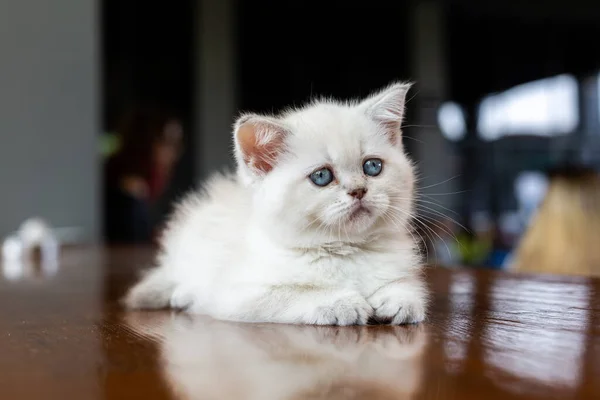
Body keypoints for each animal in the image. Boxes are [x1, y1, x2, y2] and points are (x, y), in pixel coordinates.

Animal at [125, 82, 426, 324]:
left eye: (372, 167)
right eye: (321, 176)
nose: (359, 190)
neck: (345, 250)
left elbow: (407, 285)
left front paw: (401, 300)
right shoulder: (234, 295)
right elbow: (290, 294)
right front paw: (341, 302)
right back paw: (181, 294)